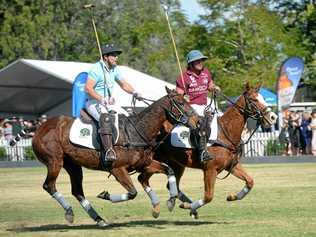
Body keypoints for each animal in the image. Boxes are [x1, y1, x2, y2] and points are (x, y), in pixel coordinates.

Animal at [26, 88, 198, 227]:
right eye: (181, 103)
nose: (197, 121)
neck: (136, 131)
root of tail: (39, 127)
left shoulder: (145, 163)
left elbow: (168, 170)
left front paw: (171, 201)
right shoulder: (117, 169)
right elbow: (132, 193)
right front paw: (105, 195)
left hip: (73, 165)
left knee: (77, 191)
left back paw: (99, 219)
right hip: (54, 161)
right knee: (49, 186)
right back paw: (69, 212)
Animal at [138, 82, 276, 218]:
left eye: (263, 98)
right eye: (253, 100)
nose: (273, 117)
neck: (225, 133)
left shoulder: (231, 165)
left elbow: (250, 181)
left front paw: (231, 197)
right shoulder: (210, 169)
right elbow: (209, 196)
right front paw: (190, 207)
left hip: (177, 164)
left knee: (167, 184)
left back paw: (174, 203)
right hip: (152, 161)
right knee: (142, 178)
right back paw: (160, 208)